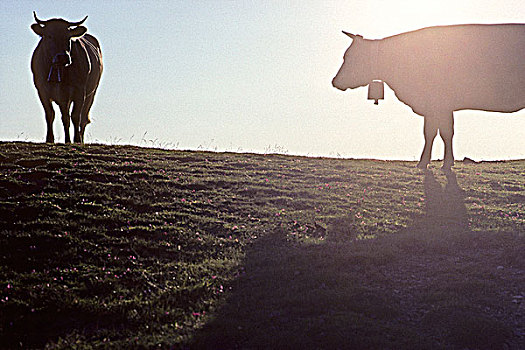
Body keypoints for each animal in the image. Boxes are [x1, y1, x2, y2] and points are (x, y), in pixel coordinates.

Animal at [30, 11, 102, 144]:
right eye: (49, 36)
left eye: (68, 37)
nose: (63, 57)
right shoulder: (42, 90)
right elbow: (50, 114)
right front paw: (50, 139)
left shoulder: (79, 91)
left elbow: (75, 116)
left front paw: (77, 139)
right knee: (65, 116)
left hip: (91, 93)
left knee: (82, 118)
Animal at [332, 23, 524, 170]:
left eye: (349, 56)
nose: (335, 81)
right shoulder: (440, 107)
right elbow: (442, 132)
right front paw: (445, 162)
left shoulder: (437, 104)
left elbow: (434, 132)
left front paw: (428, 163)